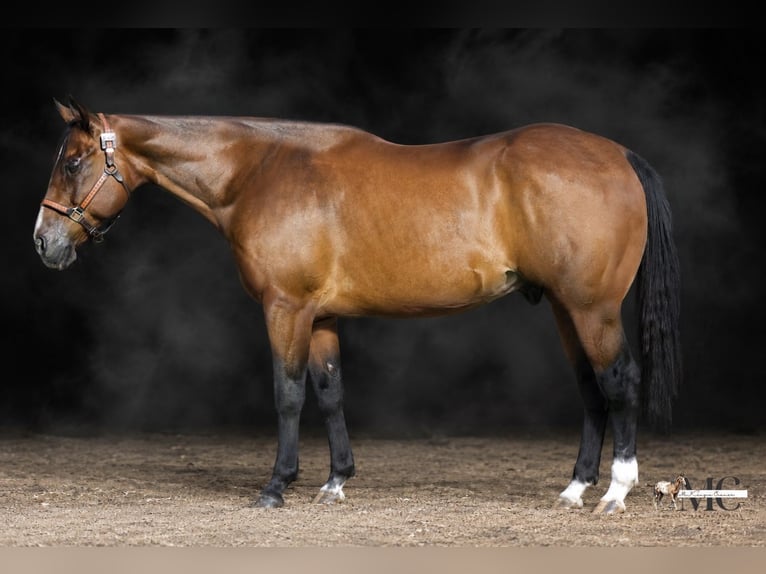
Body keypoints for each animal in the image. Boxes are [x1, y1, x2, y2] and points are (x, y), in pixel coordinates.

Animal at [33, 96, 681, 514]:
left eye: (73, 162)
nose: (44, 242)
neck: (260, 172)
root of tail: (619, 155)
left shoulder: (286, 309)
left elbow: (288, 394)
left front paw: (277, 486)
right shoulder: (321, 316)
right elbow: (329, 391)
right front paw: (335, 482)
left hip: (592, 308)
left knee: (619, 380)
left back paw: (616, 491)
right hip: (566, 309)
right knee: (590, 387)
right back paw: (576, 488)